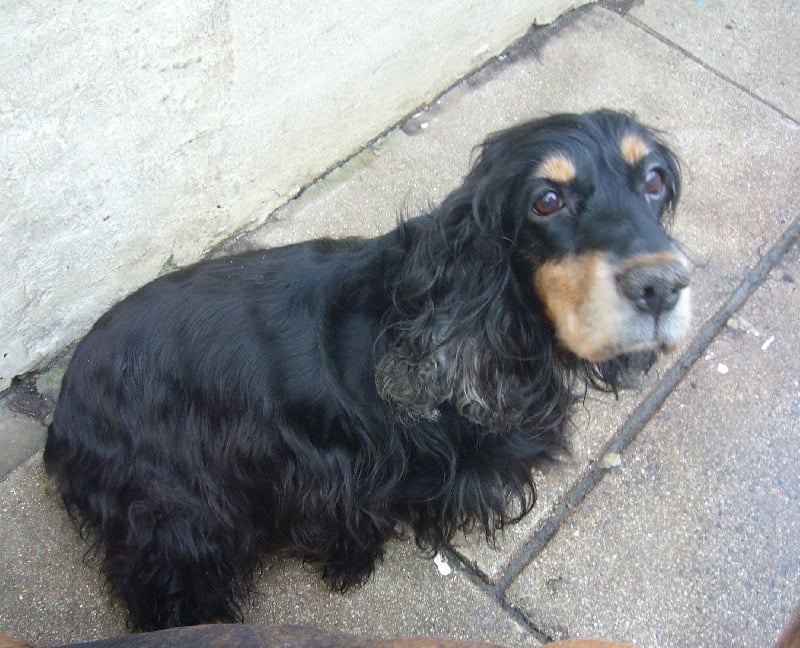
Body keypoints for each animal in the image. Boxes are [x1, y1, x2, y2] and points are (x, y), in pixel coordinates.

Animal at [43, 109, 692, 632]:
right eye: (546, 200)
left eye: (654, 180)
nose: (662, 287)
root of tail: (67, 400)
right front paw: (350, 560)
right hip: (173, 513)